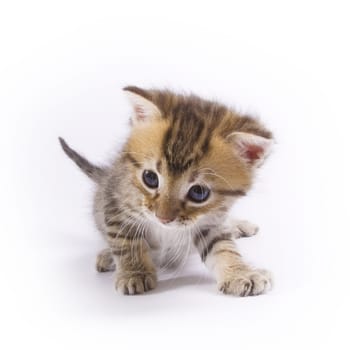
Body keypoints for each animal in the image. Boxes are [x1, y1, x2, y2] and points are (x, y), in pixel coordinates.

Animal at [59, 87, 274, 296]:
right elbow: (125, 239)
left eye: (199, 192)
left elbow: (222, 247)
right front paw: (134, 273)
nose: (163, 218)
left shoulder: (208, 221)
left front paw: (239, 273)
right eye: (150, 178)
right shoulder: (116, 200)